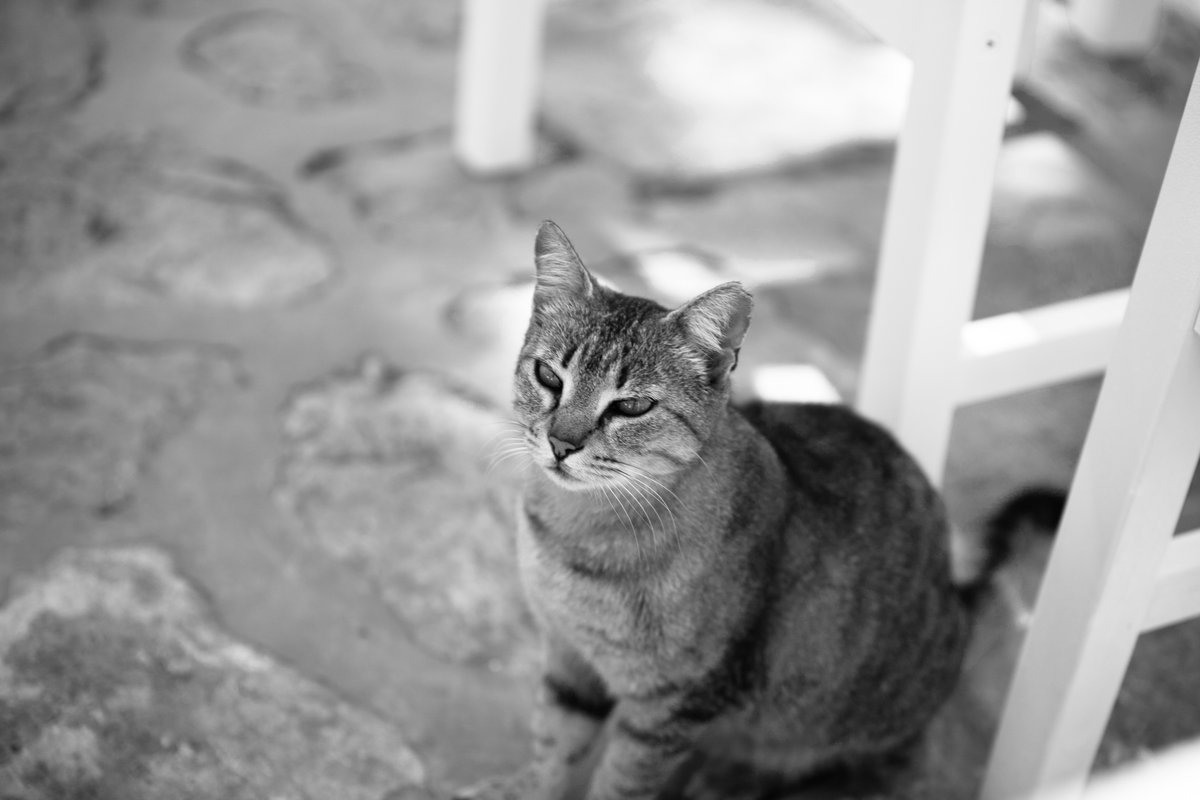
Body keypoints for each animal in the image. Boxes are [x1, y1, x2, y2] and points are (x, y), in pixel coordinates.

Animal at [458, 220, 1012, 800]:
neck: (579, 537)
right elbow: (553, 748)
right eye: (549, 376)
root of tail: (955, 592)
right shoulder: (568, 659)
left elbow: (619, 782)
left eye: (631, 406)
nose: (561, 444)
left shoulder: (671, 707)